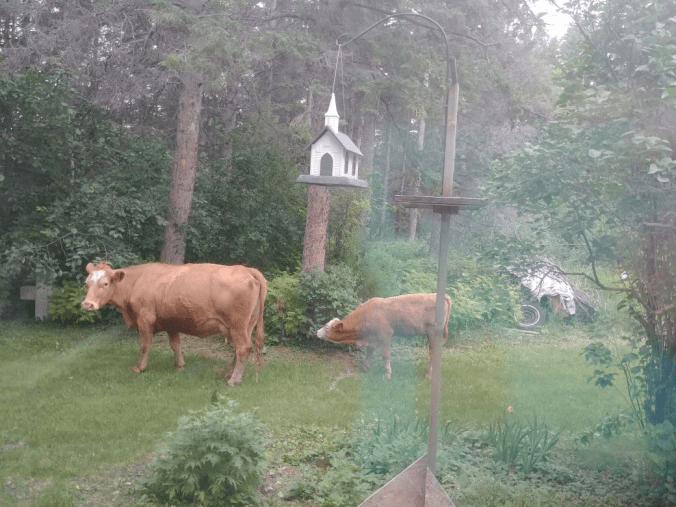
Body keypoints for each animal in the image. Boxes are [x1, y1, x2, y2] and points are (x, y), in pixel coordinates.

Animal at [81, 262, 267, 386]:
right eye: (87, 283)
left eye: (105, 283)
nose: (87, 304)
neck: (136, 282)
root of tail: (245, 269)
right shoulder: (171, 322)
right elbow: (175, 344)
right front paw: (179, 365)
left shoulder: (144, 319)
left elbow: (145, 345)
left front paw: (139, 367)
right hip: (246, 325)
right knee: (240, 349)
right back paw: (228, 373)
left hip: (237, 325)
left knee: (243, 348)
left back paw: (234, 380)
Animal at [316, 293, 451, 379]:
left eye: (327, 327)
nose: (317, 332)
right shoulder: (373, 337)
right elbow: (370, 350)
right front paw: (365, 367)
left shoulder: (385, 335)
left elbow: (385, 355)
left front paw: (387, 374)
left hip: (433, 332)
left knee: (433, 352)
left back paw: (429, 374)